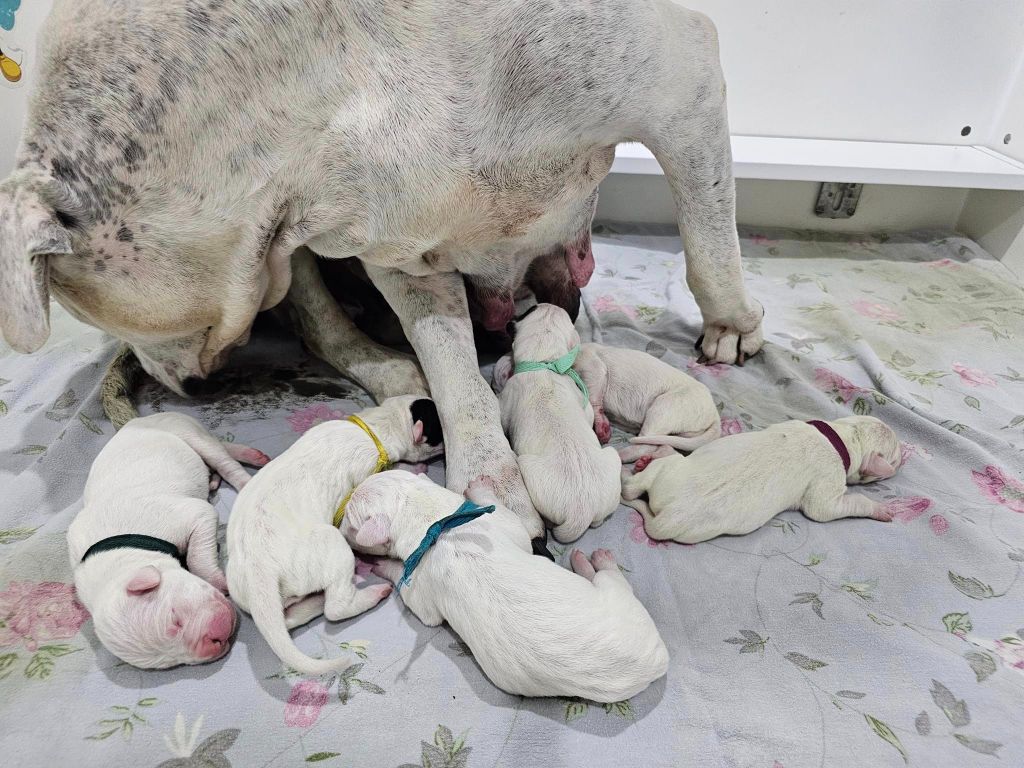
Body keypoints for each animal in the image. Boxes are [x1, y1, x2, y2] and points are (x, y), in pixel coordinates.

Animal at [0, 0, 761, 524]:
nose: (182, 385)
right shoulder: (399, 255)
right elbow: (454, 371)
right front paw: (489, 474)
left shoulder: (682, 89)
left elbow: (709, 237)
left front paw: (732, 323)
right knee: (323, 324)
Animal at [66, 411, 270, 671]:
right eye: (169, 663)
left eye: (175, 618)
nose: (212, 643)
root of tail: (142, 419)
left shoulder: (191, 515)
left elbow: (198, 558)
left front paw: (221, 582)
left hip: (185, 431)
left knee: (223, 459)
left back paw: (247, 476)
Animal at [226, 397, 442, 671]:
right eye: (440, 431)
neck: (373, 427)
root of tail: (258, 570)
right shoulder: (366, 474)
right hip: (333, 546)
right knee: (336, 608)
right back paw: (371, 595)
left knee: (289, 617)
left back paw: (314, 603)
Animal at [339, 468, 667, 704]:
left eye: (349, 522)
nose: (337, 524)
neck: (437, 522)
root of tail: (657, 662)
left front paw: (480, 486)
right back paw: (588, 561)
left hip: (620, 600)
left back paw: (597, 559)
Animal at [618, 415, 901, 548]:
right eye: (896, 459)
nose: (906, 453)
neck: (841, 438)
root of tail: (668, 518)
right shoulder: (826, 491)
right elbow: (831, 508)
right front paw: (880, 508)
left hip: (668, 472)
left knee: (634, 486)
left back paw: (645, 462)